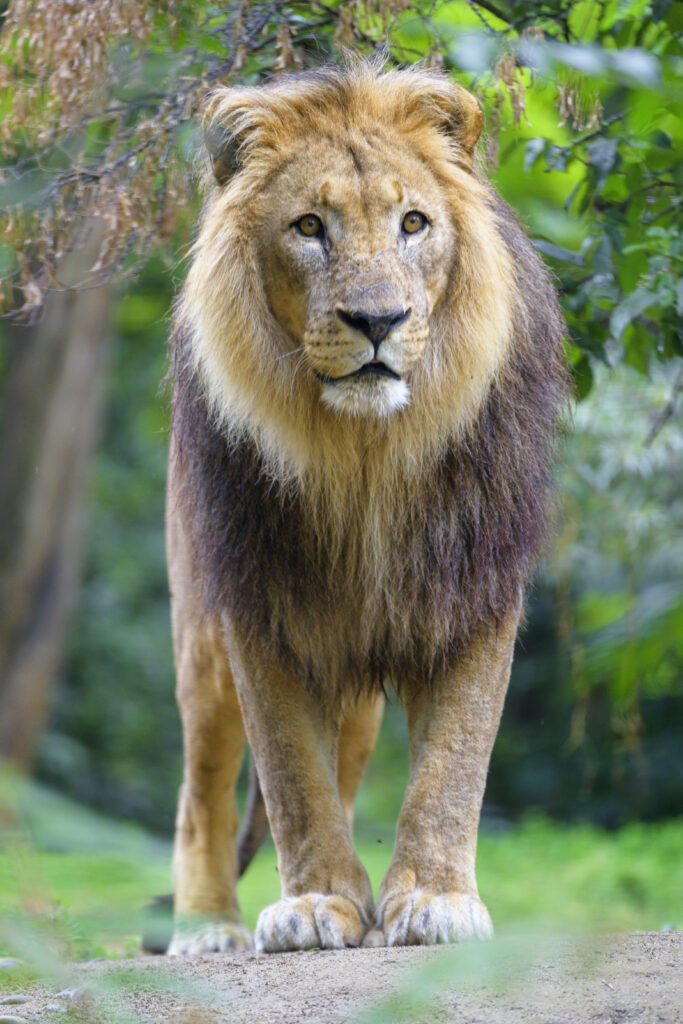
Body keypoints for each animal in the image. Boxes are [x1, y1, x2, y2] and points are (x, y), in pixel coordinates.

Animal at [165, 60, 568, 955]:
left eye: (412, 223)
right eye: (309, 227)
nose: (378, 320)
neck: (365, 457)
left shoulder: (471, 587)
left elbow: (453, 762)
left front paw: (432, 899)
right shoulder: (258, 598)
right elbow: (289, 773)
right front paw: (316, 901)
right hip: (201, 627)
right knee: (203, 785)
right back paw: (206, 926)